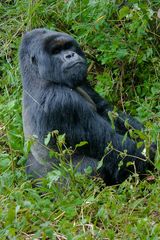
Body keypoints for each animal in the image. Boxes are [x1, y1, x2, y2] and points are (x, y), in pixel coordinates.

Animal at [19, 28, 155, 186]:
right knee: (90, 167)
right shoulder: (61, 102)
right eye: (56, 51)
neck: (37, 75)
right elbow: (115, 147)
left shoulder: (80, 80)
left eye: (68, 46)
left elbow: (107, 111)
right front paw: (153, 151)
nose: (70, 55)